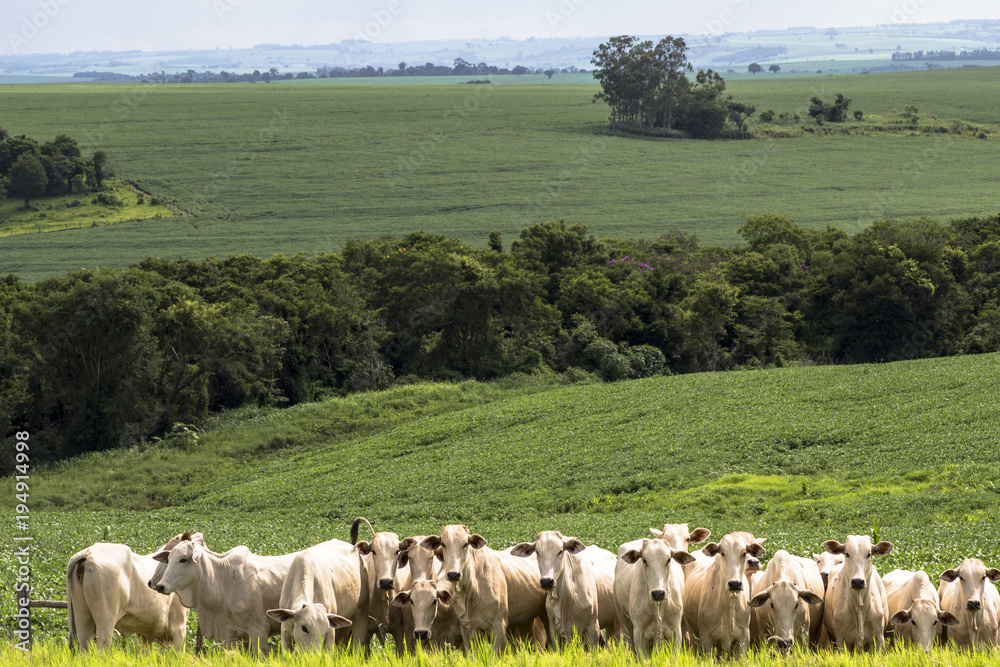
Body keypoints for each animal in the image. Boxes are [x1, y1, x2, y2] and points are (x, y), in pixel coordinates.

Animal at [420, 525, 548, 654]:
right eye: (443, 544)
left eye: (465, 544)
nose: (453, 574)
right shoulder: (467, 628)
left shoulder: (498, 625)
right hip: (527, 620)